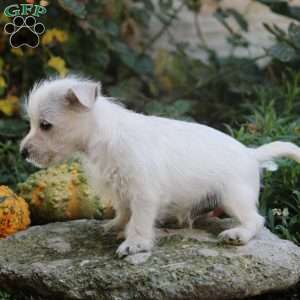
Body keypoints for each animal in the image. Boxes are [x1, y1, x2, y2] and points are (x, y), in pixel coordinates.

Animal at [20, 76, 300, 256]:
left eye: (45, 125)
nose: (23, 153)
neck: (106, 136)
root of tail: (251, 153)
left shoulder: (144, 193)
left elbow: (140, 220)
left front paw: (135, 243)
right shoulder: (121, 189)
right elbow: (125, 211)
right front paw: (117, 226)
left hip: (234, 197)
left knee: (256, 220)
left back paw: (238, 234)